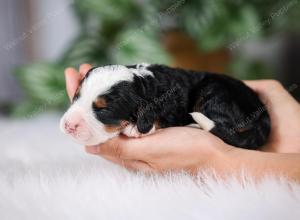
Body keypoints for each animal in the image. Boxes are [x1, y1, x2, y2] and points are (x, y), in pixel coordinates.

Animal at [59, 63, 270, 150]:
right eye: (76, 97)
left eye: (104, 110)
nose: (68, 125)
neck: (144, 83)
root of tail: (262, 114)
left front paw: (136, 128)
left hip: (214, 91)